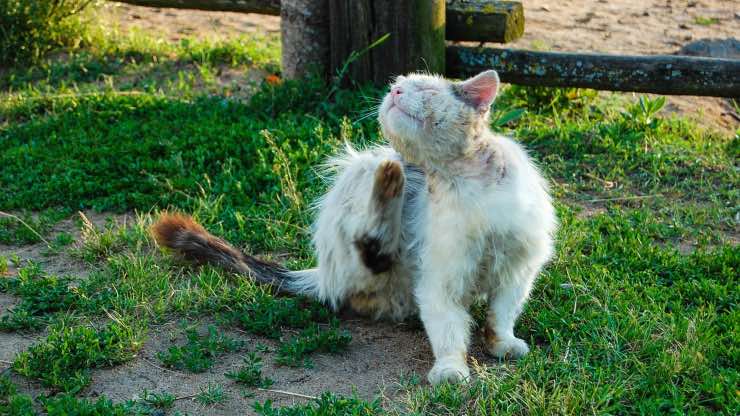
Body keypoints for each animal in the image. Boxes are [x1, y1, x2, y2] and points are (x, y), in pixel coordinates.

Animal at [152, 70, 556, 386]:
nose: (395, 92)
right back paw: (389, 184)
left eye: (423, 89)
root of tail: (322, 273)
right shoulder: (440, 279)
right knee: (368, 251)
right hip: (362, 169)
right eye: (397, 85)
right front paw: (451, 369)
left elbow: (501, 315)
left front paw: (503, 344)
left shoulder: (518, 270)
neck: (463, 181)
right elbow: (448, 330)